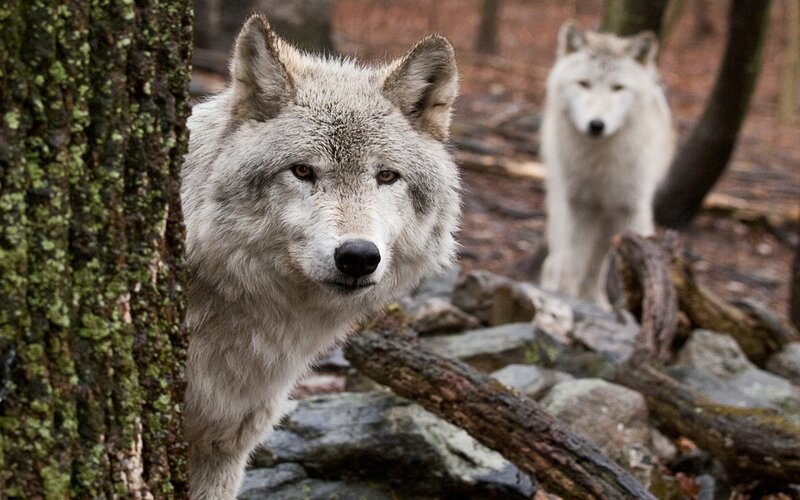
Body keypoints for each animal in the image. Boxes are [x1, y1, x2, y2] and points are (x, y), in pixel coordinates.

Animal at [540, 21, 674, 307]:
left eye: (618, 88)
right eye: (583, 84)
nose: (596, 125)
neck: (600, 163)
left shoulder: (631, 208)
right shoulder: (578, 205)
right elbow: (570, 262)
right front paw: (564, 297)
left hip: (607, 222)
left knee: (595, 266)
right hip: (562, 203)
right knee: (555, 259)